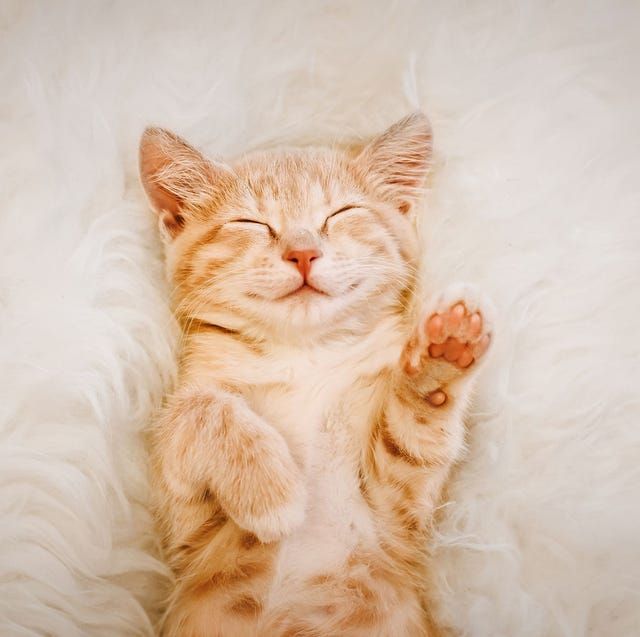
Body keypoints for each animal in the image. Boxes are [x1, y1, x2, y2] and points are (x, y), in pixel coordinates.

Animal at [139, 114, 490, 636]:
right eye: (251, 223)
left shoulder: (397, 513)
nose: (302, 253)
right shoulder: (184, 528)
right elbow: (199, 406)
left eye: (340, 213)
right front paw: (270, 492)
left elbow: (414, 434)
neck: (304, 355)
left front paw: (442, 351)